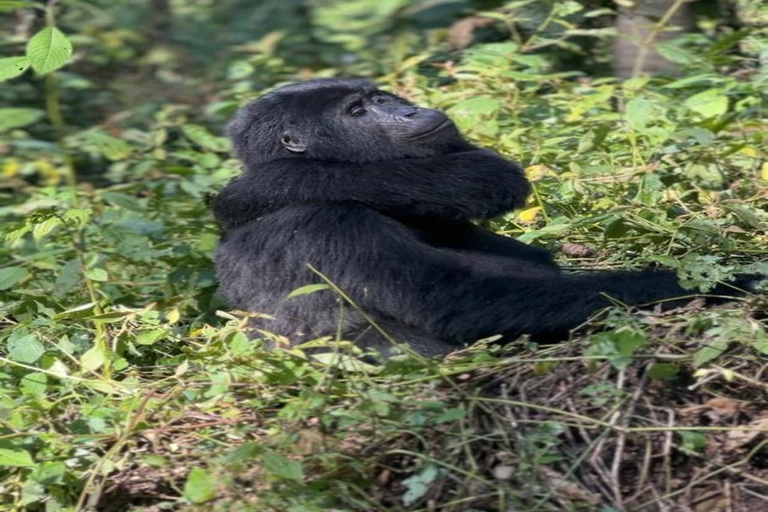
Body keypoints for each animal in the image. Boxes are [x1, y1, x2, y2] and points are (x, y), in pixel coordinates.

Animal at [213, 79, 760, 356]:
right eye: (357, 112)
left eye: (381, 99)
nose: (408, 111)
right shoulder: (328, 221)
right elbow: (463, 302)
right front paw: (721, 284)